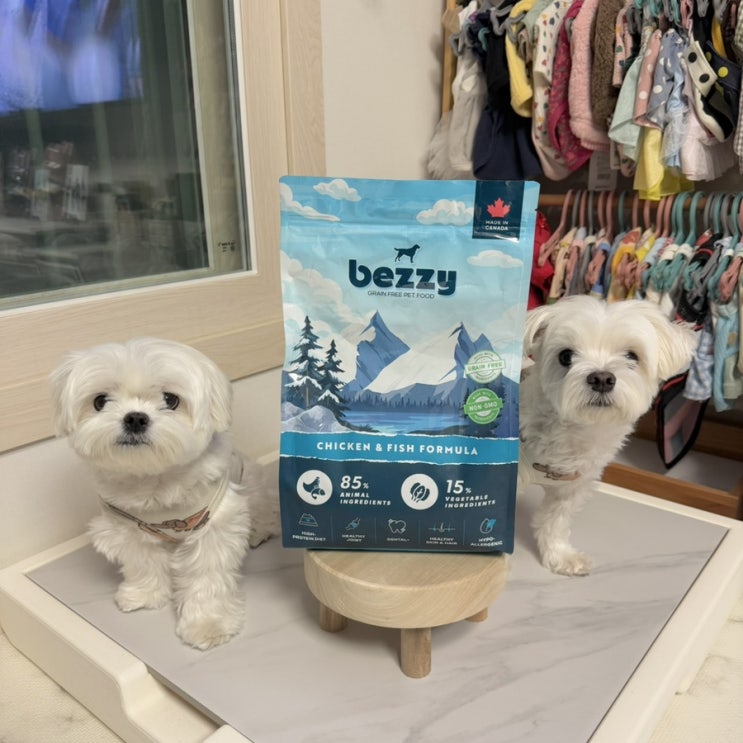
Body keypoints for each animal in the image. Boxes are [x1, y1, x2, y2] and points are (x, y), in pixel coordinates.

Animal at [50, 338, 279, 649]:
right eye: (100, 401)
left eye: (171, 400)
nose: (135, 418)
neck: (154, 480)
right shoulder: (128, 526)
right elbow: (143, 563)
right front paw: (145, 594)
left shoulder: (211, 527)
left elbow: (206, 577)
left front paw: (208, 624)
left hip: (251, 484)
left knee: (264, 510)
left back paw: (258, 531)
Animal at [519, 296, 698, 577]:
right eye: (565, 356)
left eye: (632, 356)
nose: (601, 378)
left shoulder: (572, 488)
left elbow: (554, 521)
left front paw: (561, 556)